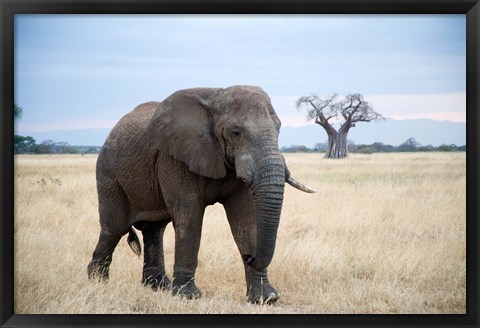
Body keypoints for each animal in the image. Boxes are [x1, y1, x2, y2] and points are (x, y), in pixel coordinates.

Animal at [87, 85, 316, 304]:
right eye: (235, 133)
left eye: (278, 130)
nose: (250, 256)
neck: (216, 97)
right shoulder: (175, 157)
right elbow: (190, 216)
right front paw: (187, 296)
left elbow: (245, 217)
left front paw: (265, 299)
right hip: (108, 173)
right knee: (114, 228)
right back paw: (98, 283)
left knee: (155, 230)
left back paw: (158, 287)